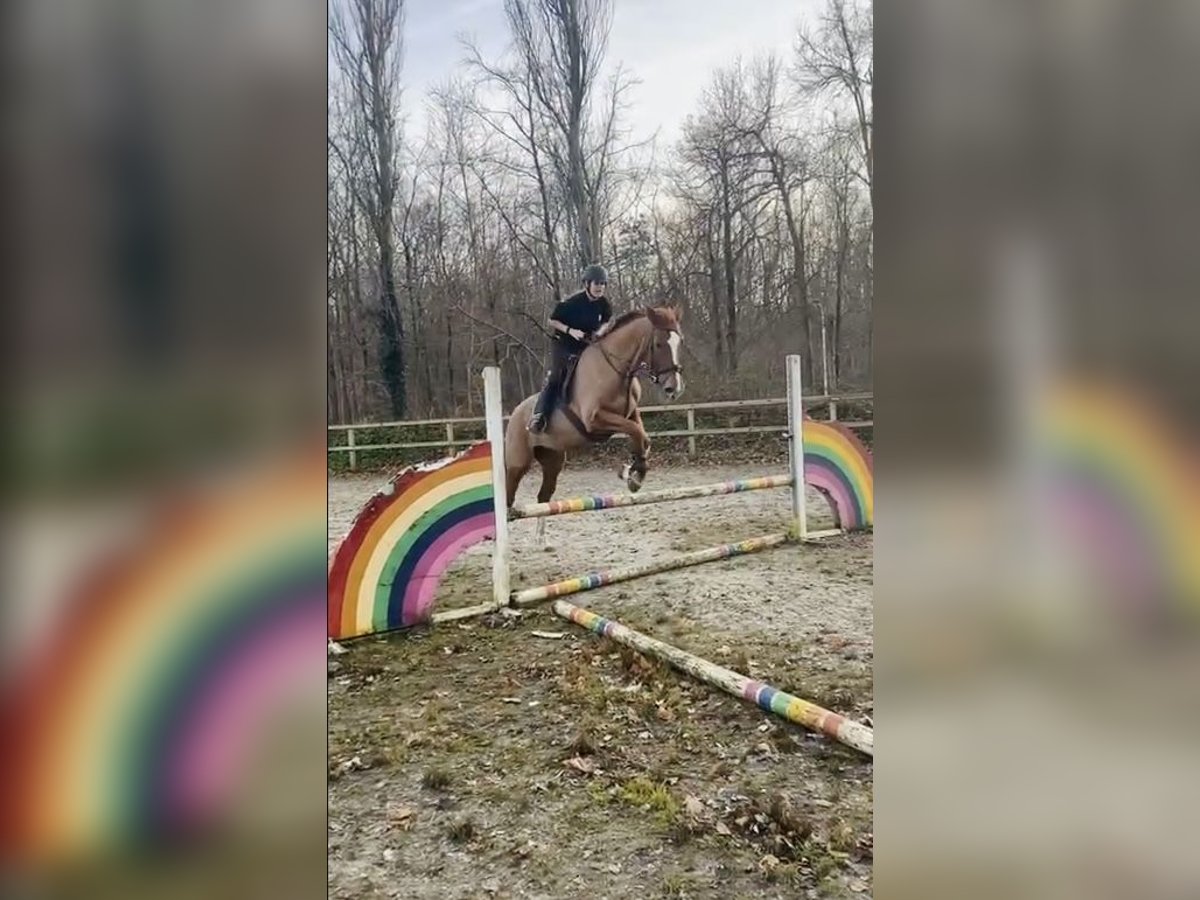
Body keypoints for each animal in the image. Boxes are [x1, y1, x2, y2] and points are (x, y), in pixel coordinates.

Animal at [501, 307, 686, 542]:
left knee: (543, 495)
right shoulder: (595, 420)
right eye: (659, 344)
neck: (616, 369)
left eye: (679, 342)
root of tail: (515, 413)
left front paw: (633, 473)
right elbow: (636, 432)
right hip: (518, 462)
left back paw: (541, 540)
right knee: (508, 495)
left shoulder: (630, 413)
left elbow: (642, 437)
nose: (674, 389)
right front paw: (632, 474)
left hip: (553, 460)